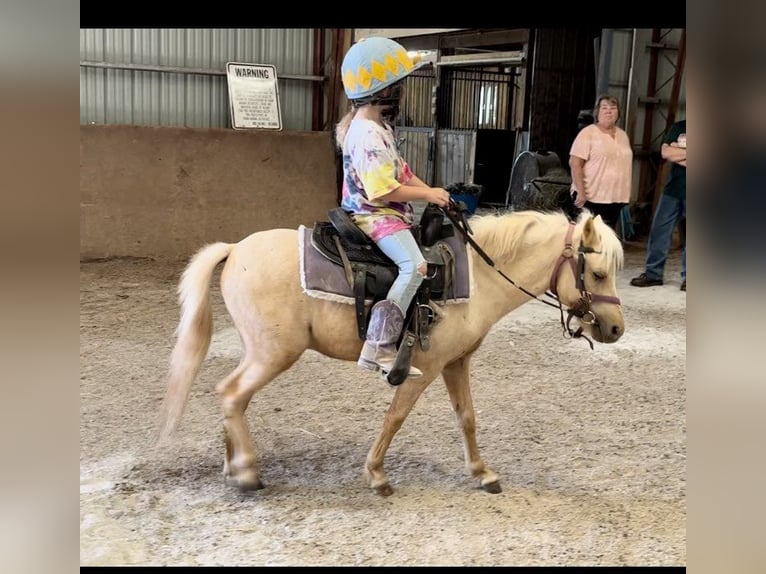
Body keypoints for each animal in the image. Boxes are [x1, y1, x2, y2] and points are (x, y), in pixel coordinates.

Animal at [154, 209, 624, 498]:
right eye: (599, 273)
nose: (617, 328)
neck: (478, 278)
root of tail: (234, 249)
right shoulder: (424, 367)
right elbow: (395, 417)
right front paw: (377, 475)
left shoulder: (456, 363)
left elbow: (467, 418)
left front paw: (482, 473)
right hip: (273, 354)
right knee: (232, 394)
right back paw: (247, 471)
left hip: (260, 352)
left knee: (231, 395)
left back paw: (233, 466)